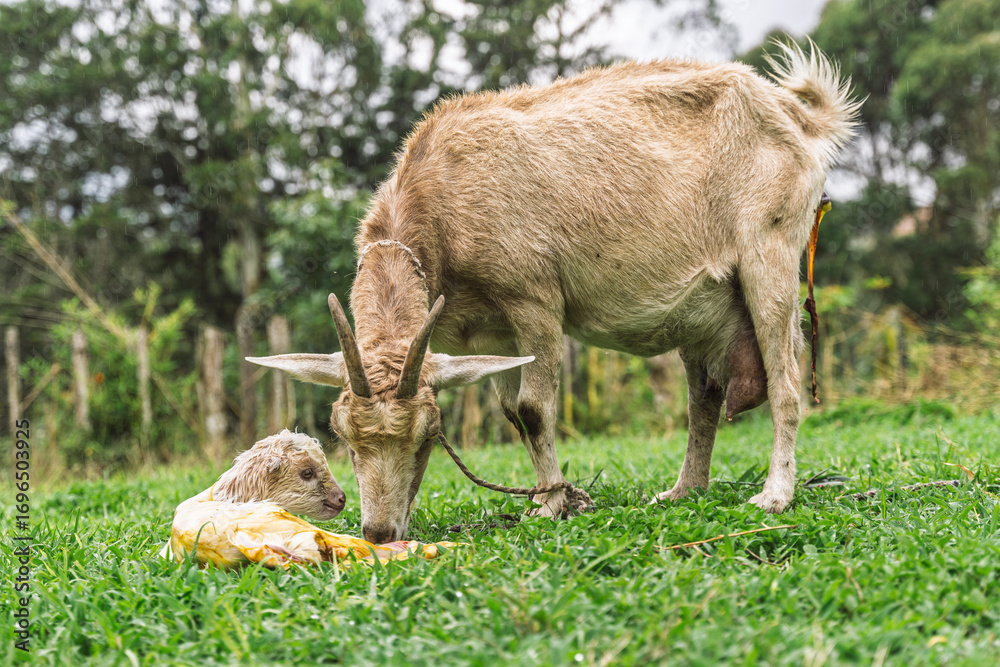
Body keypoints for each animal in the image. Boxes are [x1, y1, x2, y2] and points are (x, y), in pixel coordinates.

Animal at [250, 43, 860, 543]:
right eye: (343, 436)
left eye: (427, 435)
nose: (378, 532)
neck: (444, 194)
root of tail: (796, 113)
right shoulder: (492, 333)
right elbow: (511, 413)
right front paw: (556, 495)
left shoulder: (534, 299)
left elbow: (534, 408)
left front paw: (550, 505)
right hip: (706, 308)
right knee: (703, 398)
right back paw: (684, 489)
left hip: (770, 248)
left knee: (785, 379)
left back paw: (775, 494)